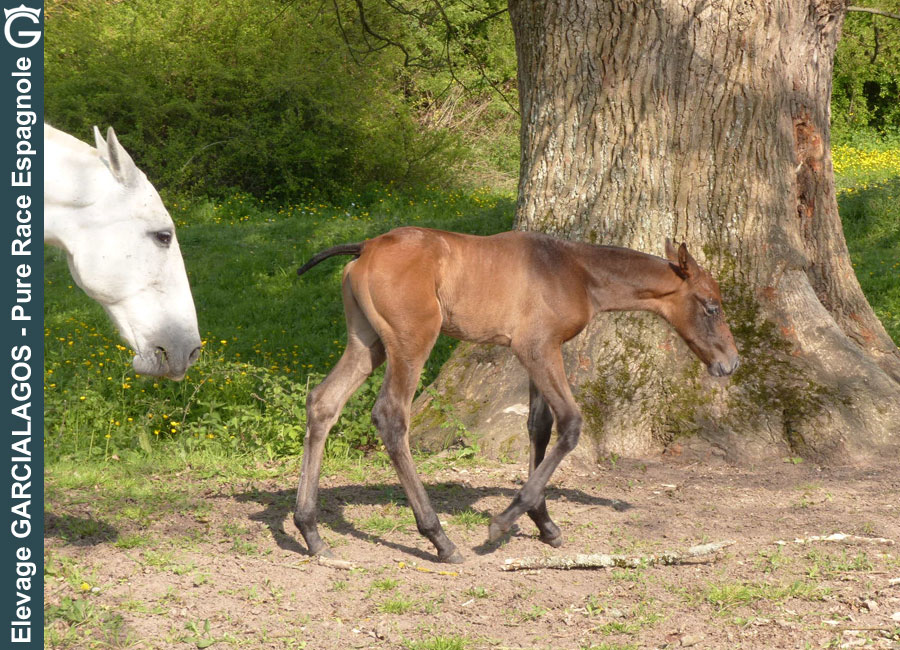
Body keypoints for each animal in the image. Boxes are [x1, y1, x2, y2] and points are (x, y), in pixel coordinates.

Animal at [296, 228, 740, 560]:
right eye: (712, 306)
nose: (731, 363)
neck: (574, 271)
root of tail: (367, 246)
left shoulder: (533, 354)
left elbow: (538, 428)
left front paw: (544, 522)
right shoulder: (539, 349)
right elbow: (570, 424)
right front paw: (503, 522)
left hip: (365, 343)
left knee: (323, 403)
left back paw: (310, 532)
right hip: (411, 342)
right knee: (391, 417)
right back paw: (439, 539)